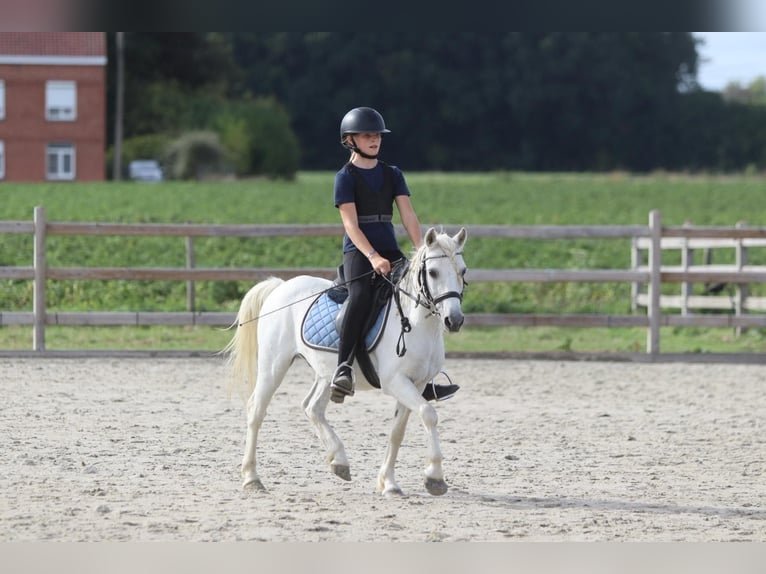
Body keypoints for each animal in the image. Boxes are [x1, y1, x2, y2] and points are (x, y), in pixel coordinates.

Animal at [223, 227, 467, 496]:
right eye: (433, 272)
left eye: (463, 271)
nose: (454, 320)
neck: (415, 324)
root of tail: (281, 286)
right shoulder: (396, 382)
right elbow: (428, 414)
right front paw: (434, 477)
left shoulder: (418, 383)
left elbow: (397, 432)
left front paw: (389, 483)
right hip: (273, 365)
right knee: (256, 410)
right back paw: (252, 478)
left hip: (326, 372)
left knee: (312, 408)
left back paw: (339, 461)